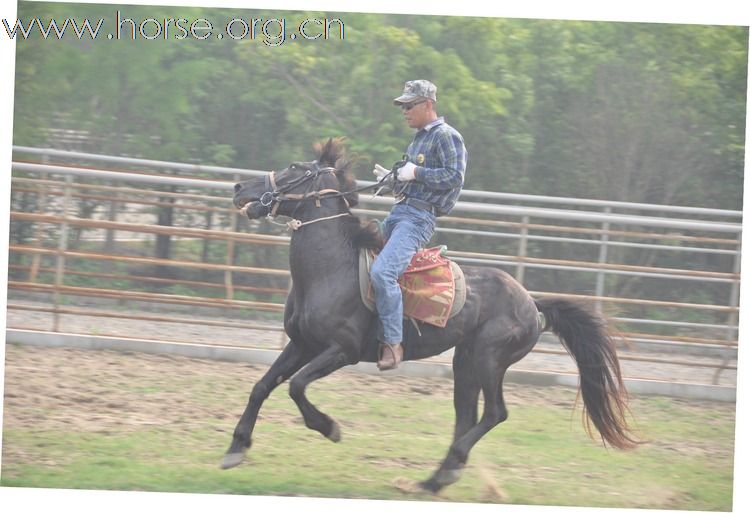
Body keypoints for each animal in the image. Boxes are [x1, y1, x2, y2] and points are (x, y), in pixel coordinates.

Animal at [225, 137, 640, 492]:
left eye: (295, 167)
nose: (239, 188)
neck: (331, 270)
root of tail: (531, 302)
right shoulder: (301, 344)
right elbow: (262, 385)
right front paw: (235, 449)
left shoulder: (340, 351)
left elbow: (296, 386)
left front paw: (329, 428)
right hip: (465, 362)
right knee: (466, 416)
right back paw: (435, 479)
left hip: (490, 358)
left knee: (495, 414)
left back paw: (446, 469)